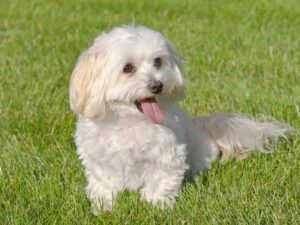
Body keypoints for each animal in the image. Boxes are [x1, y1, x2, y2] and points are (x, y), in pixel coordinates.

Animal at [69, 25, 290, 215]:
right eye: (128, 68)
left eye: (158, 61)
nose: (157, 85)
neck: (131, 122)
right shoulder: (99, 162)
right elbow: (103, 185)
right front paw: (102, 207)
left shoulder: (168, 156)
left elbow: (160, 185)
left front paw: (156, 207)